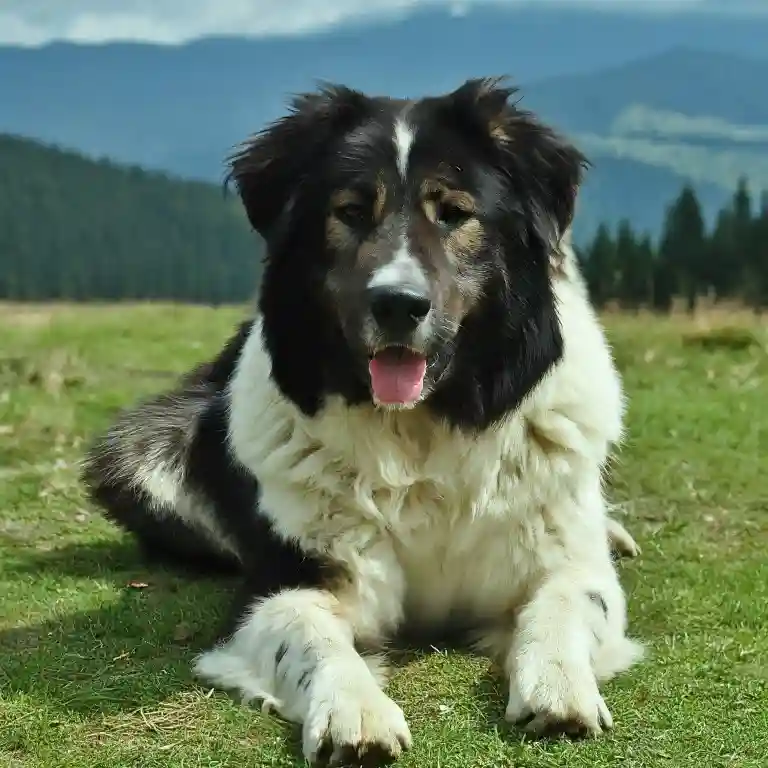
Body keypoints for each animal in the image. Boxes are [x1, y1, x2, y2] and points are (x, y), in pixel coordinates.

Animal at [84, 79, 644, 768]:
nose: (398, 305)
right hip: (140, 450)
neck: (423, 432)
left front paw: (559, 687)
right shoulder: (284, 586)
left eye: (452, 212)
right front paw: (354, 711)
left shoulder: (565, 561)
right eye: (350, 211)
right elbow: (312, 640)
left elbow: (566, 603)